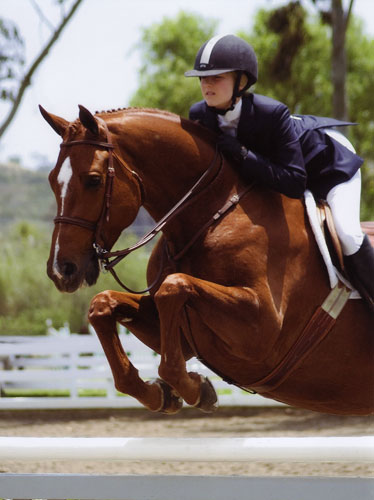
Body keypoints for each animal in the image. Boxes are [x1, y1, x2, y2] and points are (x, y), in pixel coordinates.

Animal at [39, 105, 372, 418]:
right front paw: (160, 395)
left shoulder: (262, 330)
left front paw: (197, 390)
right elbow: (103, 305)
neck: (213, 215)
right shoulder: (185, 336)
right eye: (52, 181)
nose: (61, 269)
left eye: (93, 181)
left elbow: (173, 288)